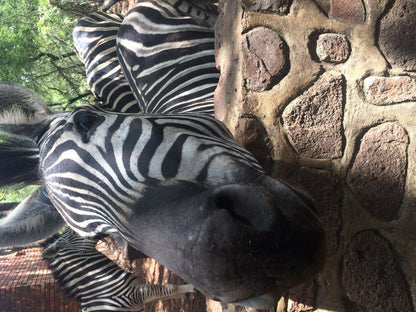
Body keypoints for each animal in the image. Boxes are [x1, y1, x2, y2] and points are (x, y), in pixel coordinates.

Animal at [41, 227, 194, 312]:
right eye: (74, 230)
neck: (99, 280)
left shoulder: (138, 295)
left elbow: (165, 294)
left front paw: (183, 295)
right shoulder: (135, 294)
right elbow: (169, 288)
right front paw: (191, 288)